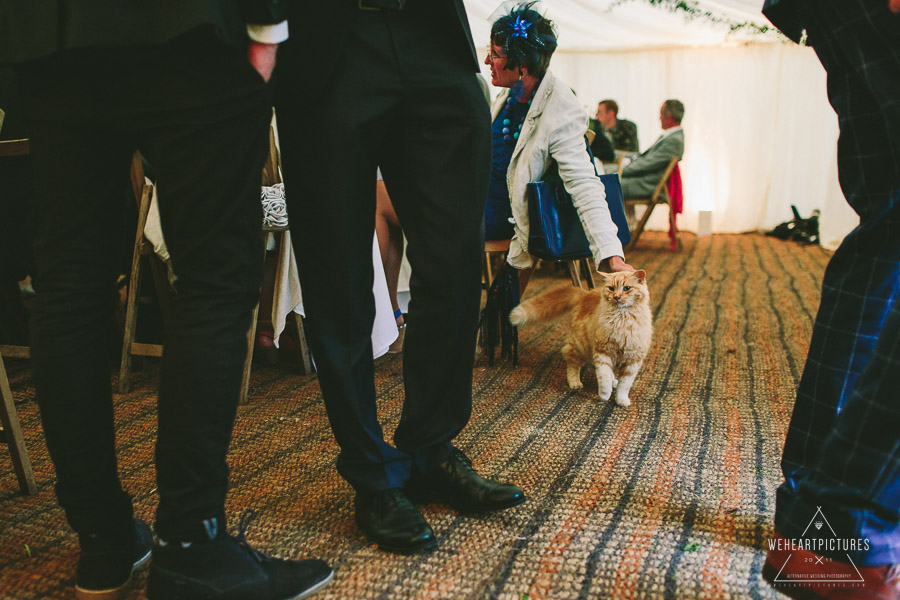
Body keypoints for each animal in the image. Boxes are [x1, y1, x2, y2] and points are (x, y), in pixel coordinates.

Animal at [510, 272, 652, 408]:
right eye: (611, 288)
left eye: (627, 288)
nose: (616, 296)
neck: (622, 319)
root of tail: (585, 294)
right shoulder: (602, 352)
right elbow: (604, 377)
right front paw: (604, 395)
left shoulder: (632, 360)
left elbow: (624, 385)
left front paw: (621, 400)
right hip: (580, 347)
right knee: (572, 363)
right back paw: (575, 383)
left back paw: (613, 382)